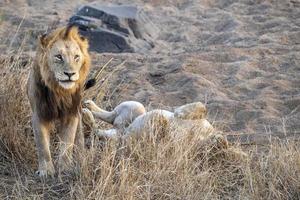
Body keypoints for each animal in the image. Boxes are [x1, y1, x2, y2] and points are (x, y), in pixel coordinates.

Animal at [26, 25, 90, 177]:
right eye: (59, 57)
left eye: (76, 57)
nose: (70, 74)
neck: (59, 92)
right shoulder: (39, 114)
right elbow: (42, 145)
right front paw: (46, 171)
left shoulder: (71, 115)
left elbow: (68, 143)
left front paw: (65, 168)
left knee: (79, 137)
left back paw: (81, 160)